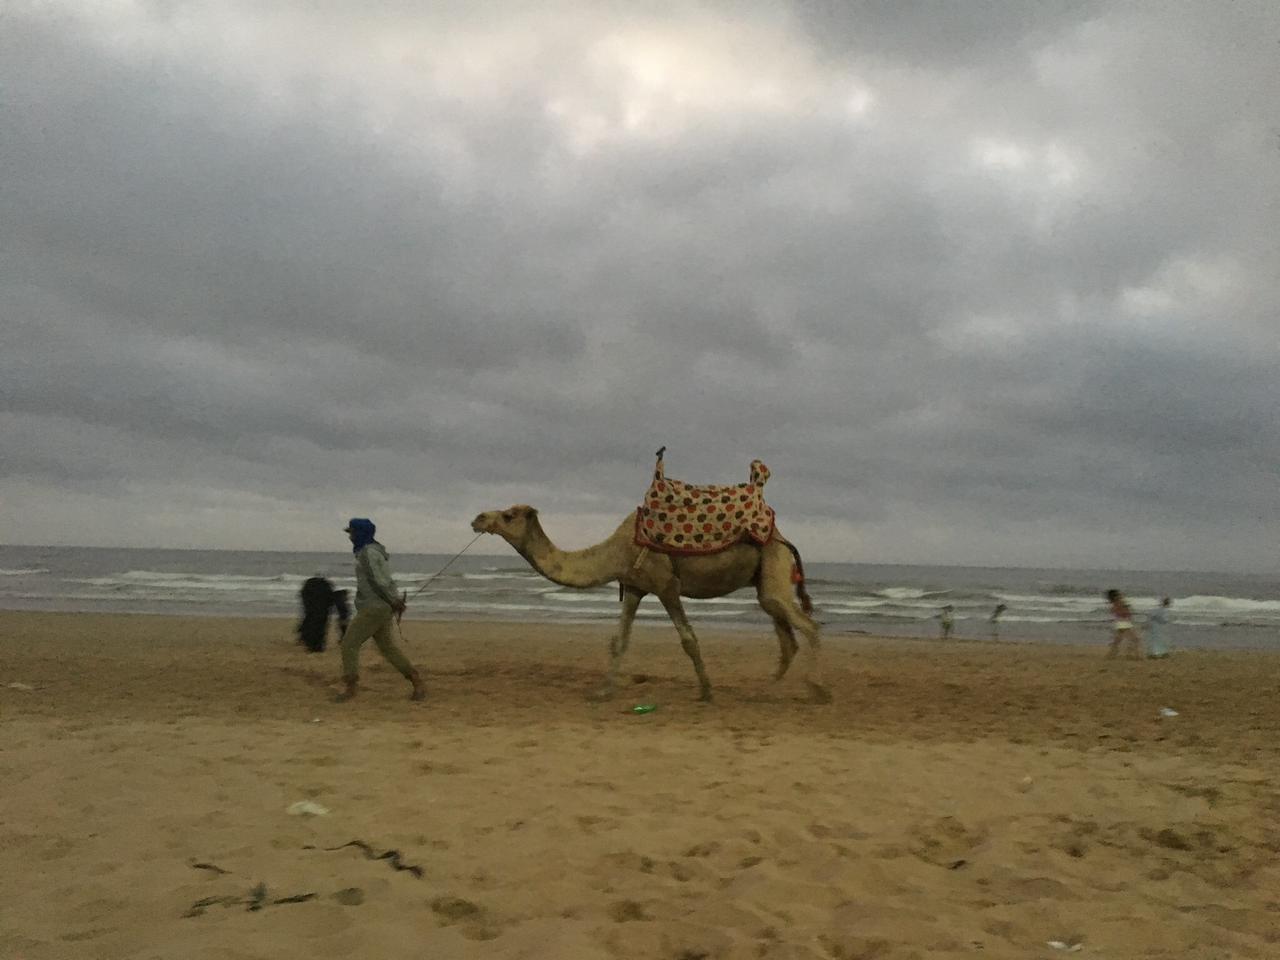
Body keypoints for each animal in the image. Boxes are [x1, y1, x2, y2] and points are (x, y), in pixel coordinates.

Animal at [470, 506, 829, 703]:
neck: (615, 551)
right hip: (765, 580)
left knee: (808, 625)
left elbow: (688, 639)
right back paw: (764, 690)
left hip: (773, 567)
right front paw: (602, 693)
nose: (477, 519)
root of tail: (784, 540)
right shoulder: (634, 587)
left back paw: (817, 689)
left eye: (509, 515)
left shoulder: (666, 584)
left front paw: (706, 692)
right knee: (786, 637)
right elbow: (619, 640)